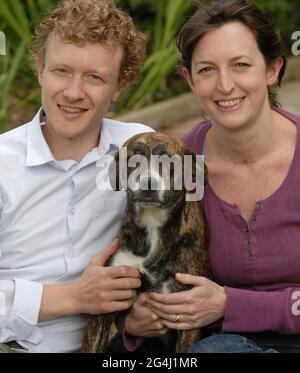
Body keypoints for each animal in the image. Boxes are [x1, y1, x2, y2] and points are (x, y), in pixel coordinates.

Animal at [81, 132, 210, 354]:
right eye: (133, 160)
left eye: (168, 161)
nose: (148, 183)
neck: (153, 225)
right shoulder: (109, 297)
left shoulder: (188, 306)